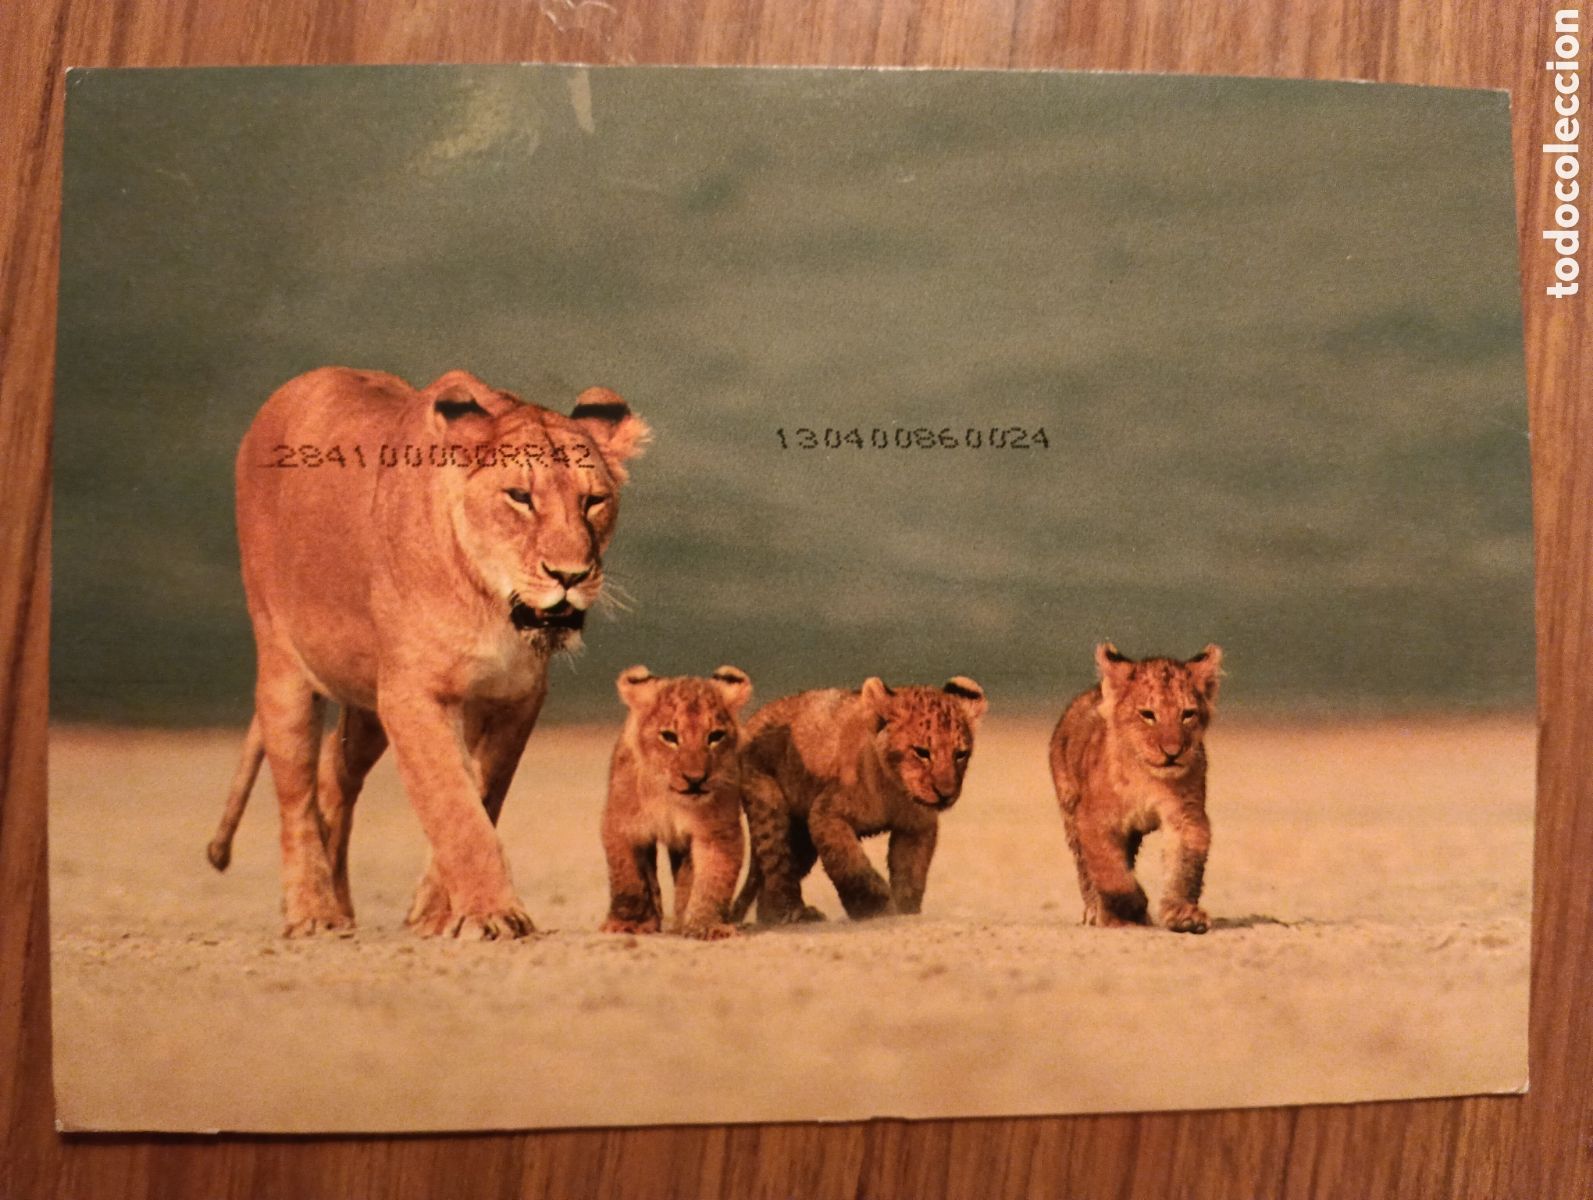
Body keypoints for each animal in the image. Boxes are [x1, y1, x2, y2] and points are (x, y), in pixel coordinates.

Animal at [205, 366, 648, 939]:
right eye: (520, 497)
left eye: (593, 501)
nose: (569, 576)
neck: (493, 603)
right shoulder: (413, 695)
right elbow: (454, 806)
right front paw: (491, 912)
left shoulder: (516, 699)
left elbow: (480, 795)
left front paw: (438, 914)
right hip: (285, 666)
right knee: (296, 799)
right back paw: (314, 913)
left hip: (367, 706)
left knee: (334, 776)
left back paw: (342, 906)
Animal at [600, 666, 752, 940]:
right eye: (669, 737)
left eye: (715, 736)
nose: (695, 779)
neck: (670, 798)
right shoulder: (621, 824)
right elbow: (627, 878)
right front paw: (627, 923)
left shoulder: (717, 831)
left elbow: (713, 880)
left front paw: (706, 926)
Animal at [730, 676, 986, 924]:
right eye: (922, 752)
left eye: (960, 754)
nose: (946, 794)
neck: (894, 788)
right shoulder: (826, 815)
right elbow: (852, 866)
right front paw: (876, 909)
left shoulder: (917, 827)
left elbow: (911, 876)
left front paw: (906, 911)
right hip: (769, 804)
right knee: (778, 866)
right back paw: (792, 913)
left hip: (801, 836)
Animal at [1050, 642, 1222, 934]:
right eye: (1148, 715)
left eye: (1187, 714)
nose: (1172, 752)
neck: (1147, 777)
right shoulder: (1094, 820)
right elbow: (1111, 872)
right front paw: (1130, 909)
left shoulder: (1187, 817)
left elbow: (1183, 867)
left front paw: (1184, 915)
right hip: (1070, 809)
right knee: (1086, 869)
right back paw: (1096, 911)